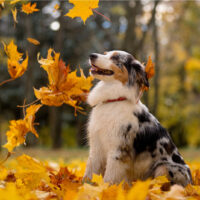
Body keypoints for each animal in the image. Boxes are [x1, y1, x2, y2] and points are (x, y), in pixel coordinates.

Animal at [83, 49, 193, 186]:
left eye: (115, 58)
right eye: (105, 53)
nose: (91, 55)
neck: (114, 100)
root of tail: (192, 182)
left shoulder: (118, 150)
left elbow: (110, 178)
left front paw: (105, 188)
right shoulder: (96, 146)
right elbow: (90, 171)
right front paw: (85, 186)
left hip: (163, 167)